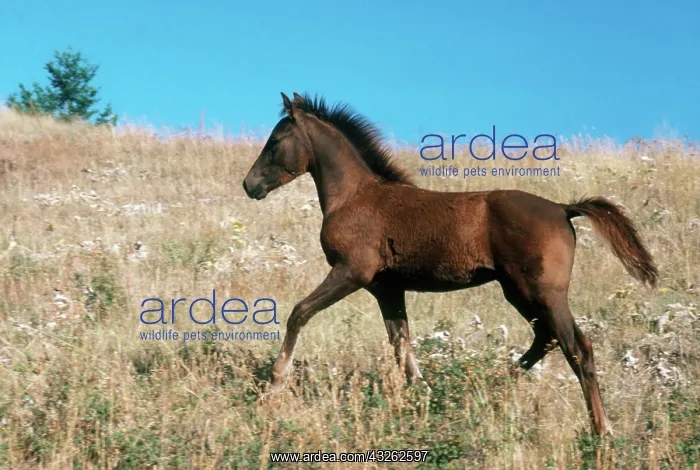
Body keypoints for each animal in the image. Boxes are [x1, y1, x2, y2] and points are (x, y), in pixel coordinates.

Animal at [242, 92, 659, 436]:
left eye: (275, 141)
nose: (249, 185)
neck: (355, 195)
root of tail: (562, 208)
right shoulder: (387, 288)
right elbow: (402, 346)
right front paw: (425, 398)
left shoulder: (352, 272)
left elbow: (299, 313)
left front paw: (275, 384)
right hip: (520, 292)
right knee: (547, 339)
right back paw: (489, 386)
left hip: (542, 292)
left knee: (577, 347)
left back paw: (601, 431)